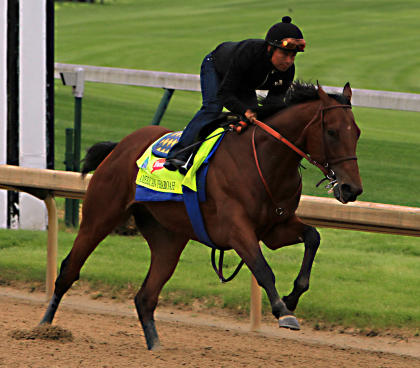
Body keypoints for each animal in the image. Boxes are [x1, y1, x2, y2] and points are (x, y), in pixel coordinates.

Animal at [39, 82, 362, 350]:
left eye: (357, 132)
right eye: (332, 132)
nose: (351, 188)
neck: (264, 161)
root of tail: (120, 145)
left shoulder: (274, 228)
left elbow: (313, 237)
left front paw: (293, 297)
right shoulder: (236, 230)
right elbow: (262, 269)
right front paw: (283, 311)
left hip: (167, 237)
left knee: (146, 297)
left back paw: (156, 346)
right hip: (101, 215)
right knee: (69, 270)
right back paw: (44, 328)